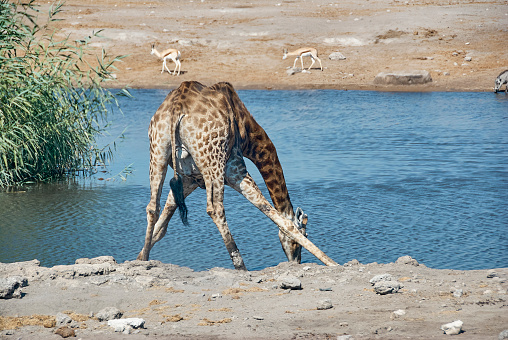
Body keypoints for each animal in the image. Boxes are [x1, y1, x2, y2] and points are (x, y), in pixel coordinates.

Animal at [137, 81, 336, 270]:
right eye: (305, 233)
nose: (296, 261)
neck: (247, 133)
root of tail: (177, 107)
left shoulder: (189, 179)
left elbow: (163, 221)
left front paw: (139, 258)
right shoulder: (235, 170)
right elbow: (279, 218)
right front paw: (333, 263)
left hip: (157, 151)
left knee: (152, 207)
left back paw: (145, 259)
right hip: (214, 161)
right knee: (216, 209)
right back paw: (241, 267)